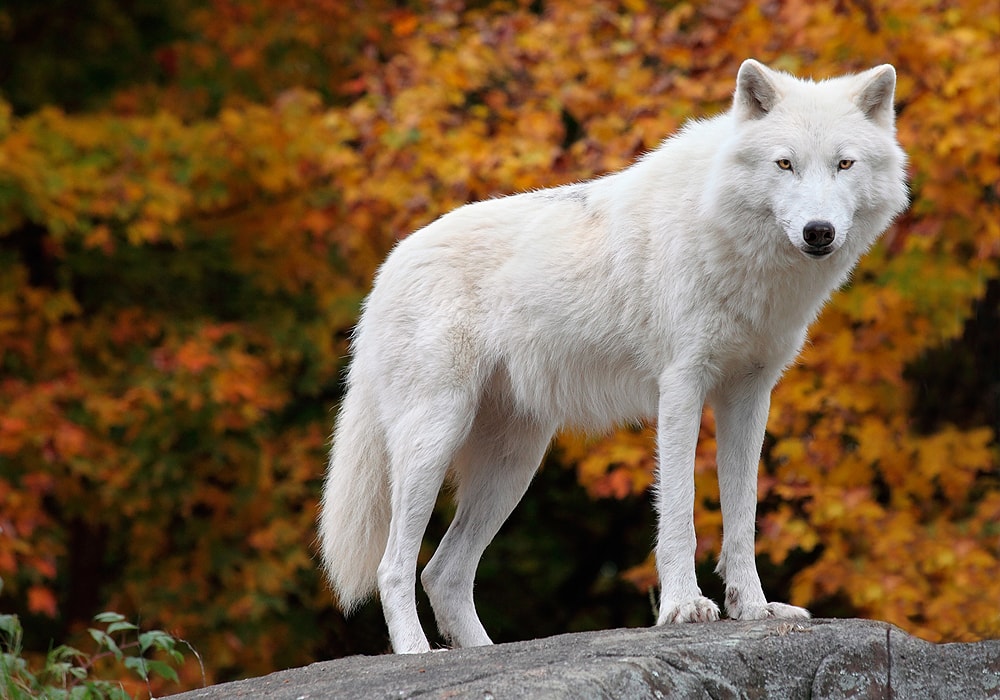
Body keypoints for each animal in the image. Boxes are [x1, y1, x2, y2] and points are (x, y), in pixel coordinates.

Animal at [318, 57, 908, 652]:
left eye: (844, 163)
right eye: (785, 163)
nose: (818, 232)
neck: (728, 236)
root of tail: (388, 268)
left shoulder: (749, 395)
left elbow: (743, 515)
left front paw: (754, 609)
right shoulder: (682, 387)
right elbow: (679, 510)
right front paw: (683, 607)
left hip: (513, 465)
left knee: (443, 572)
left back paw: (479, 651)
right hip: (434, 439)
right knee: (394, 567)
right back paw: (415, 654)